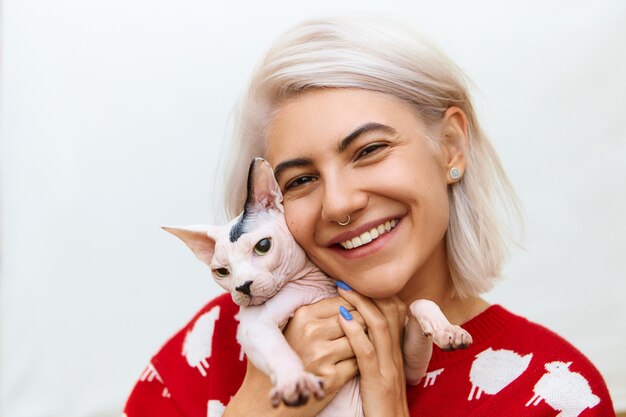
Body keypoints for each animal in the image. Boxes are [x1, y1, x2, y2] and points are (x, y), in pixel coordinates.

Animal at [163, 157, 470, 416]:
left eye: (263, 246)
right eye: (222, 272)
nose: (242, 287)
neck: (315, 286)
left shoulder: (409, 371)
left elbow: (421, 302)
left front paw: (448, 331)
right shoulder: (254, 327)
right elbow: (278, 349)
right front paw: (294, 379)